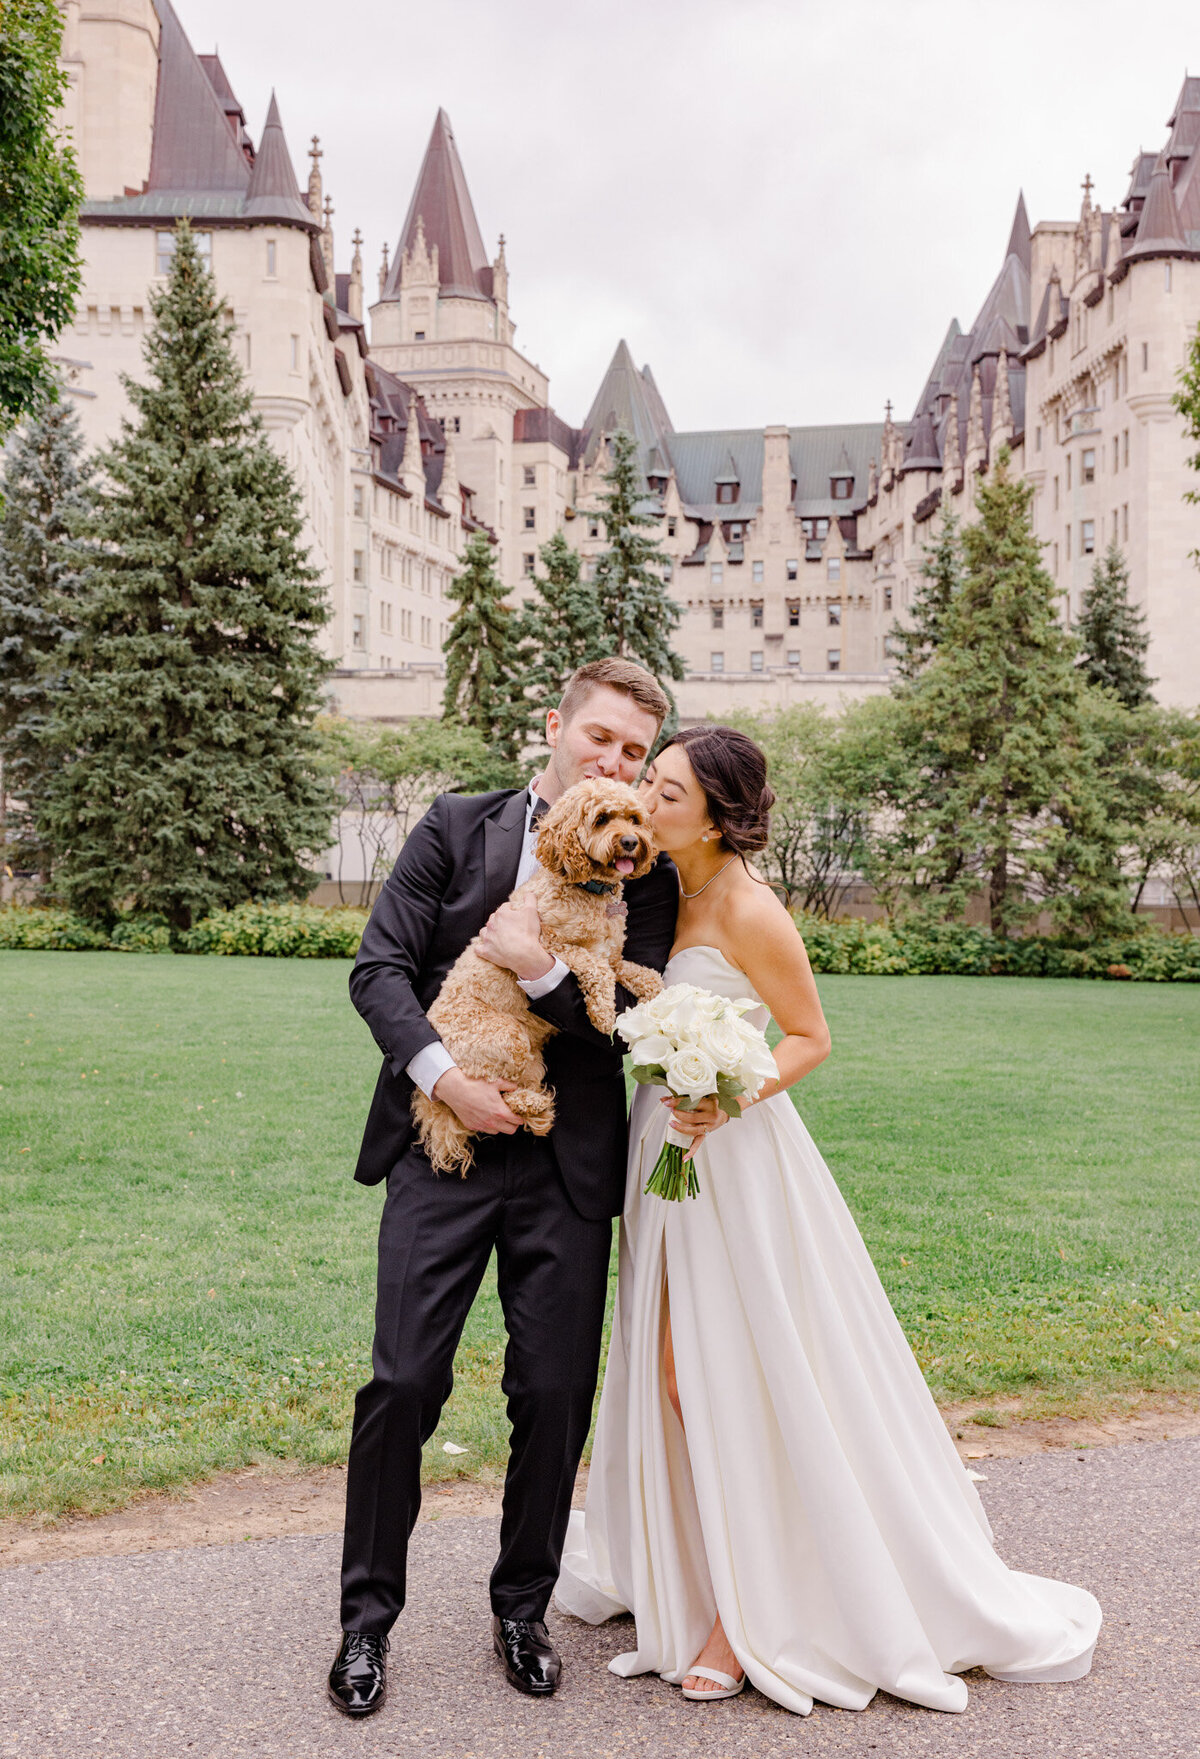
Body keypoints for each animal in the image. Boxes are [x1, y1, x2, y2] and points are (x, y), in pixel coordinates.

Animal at [411, 777, 665, 1175]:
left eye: (635, 819)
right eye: (602, 819)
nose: (630, 841)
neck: (588, 890)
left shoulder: (612, 954)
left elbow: (635, 971)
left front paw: (657, 991)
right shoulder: (548, 944)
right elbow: (593, 968)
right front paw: (602, 1013)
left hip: (530, 1060)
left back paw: (537, 1106)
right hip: (504, 1038)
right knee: (489, 1098)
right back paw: (532, 1105)